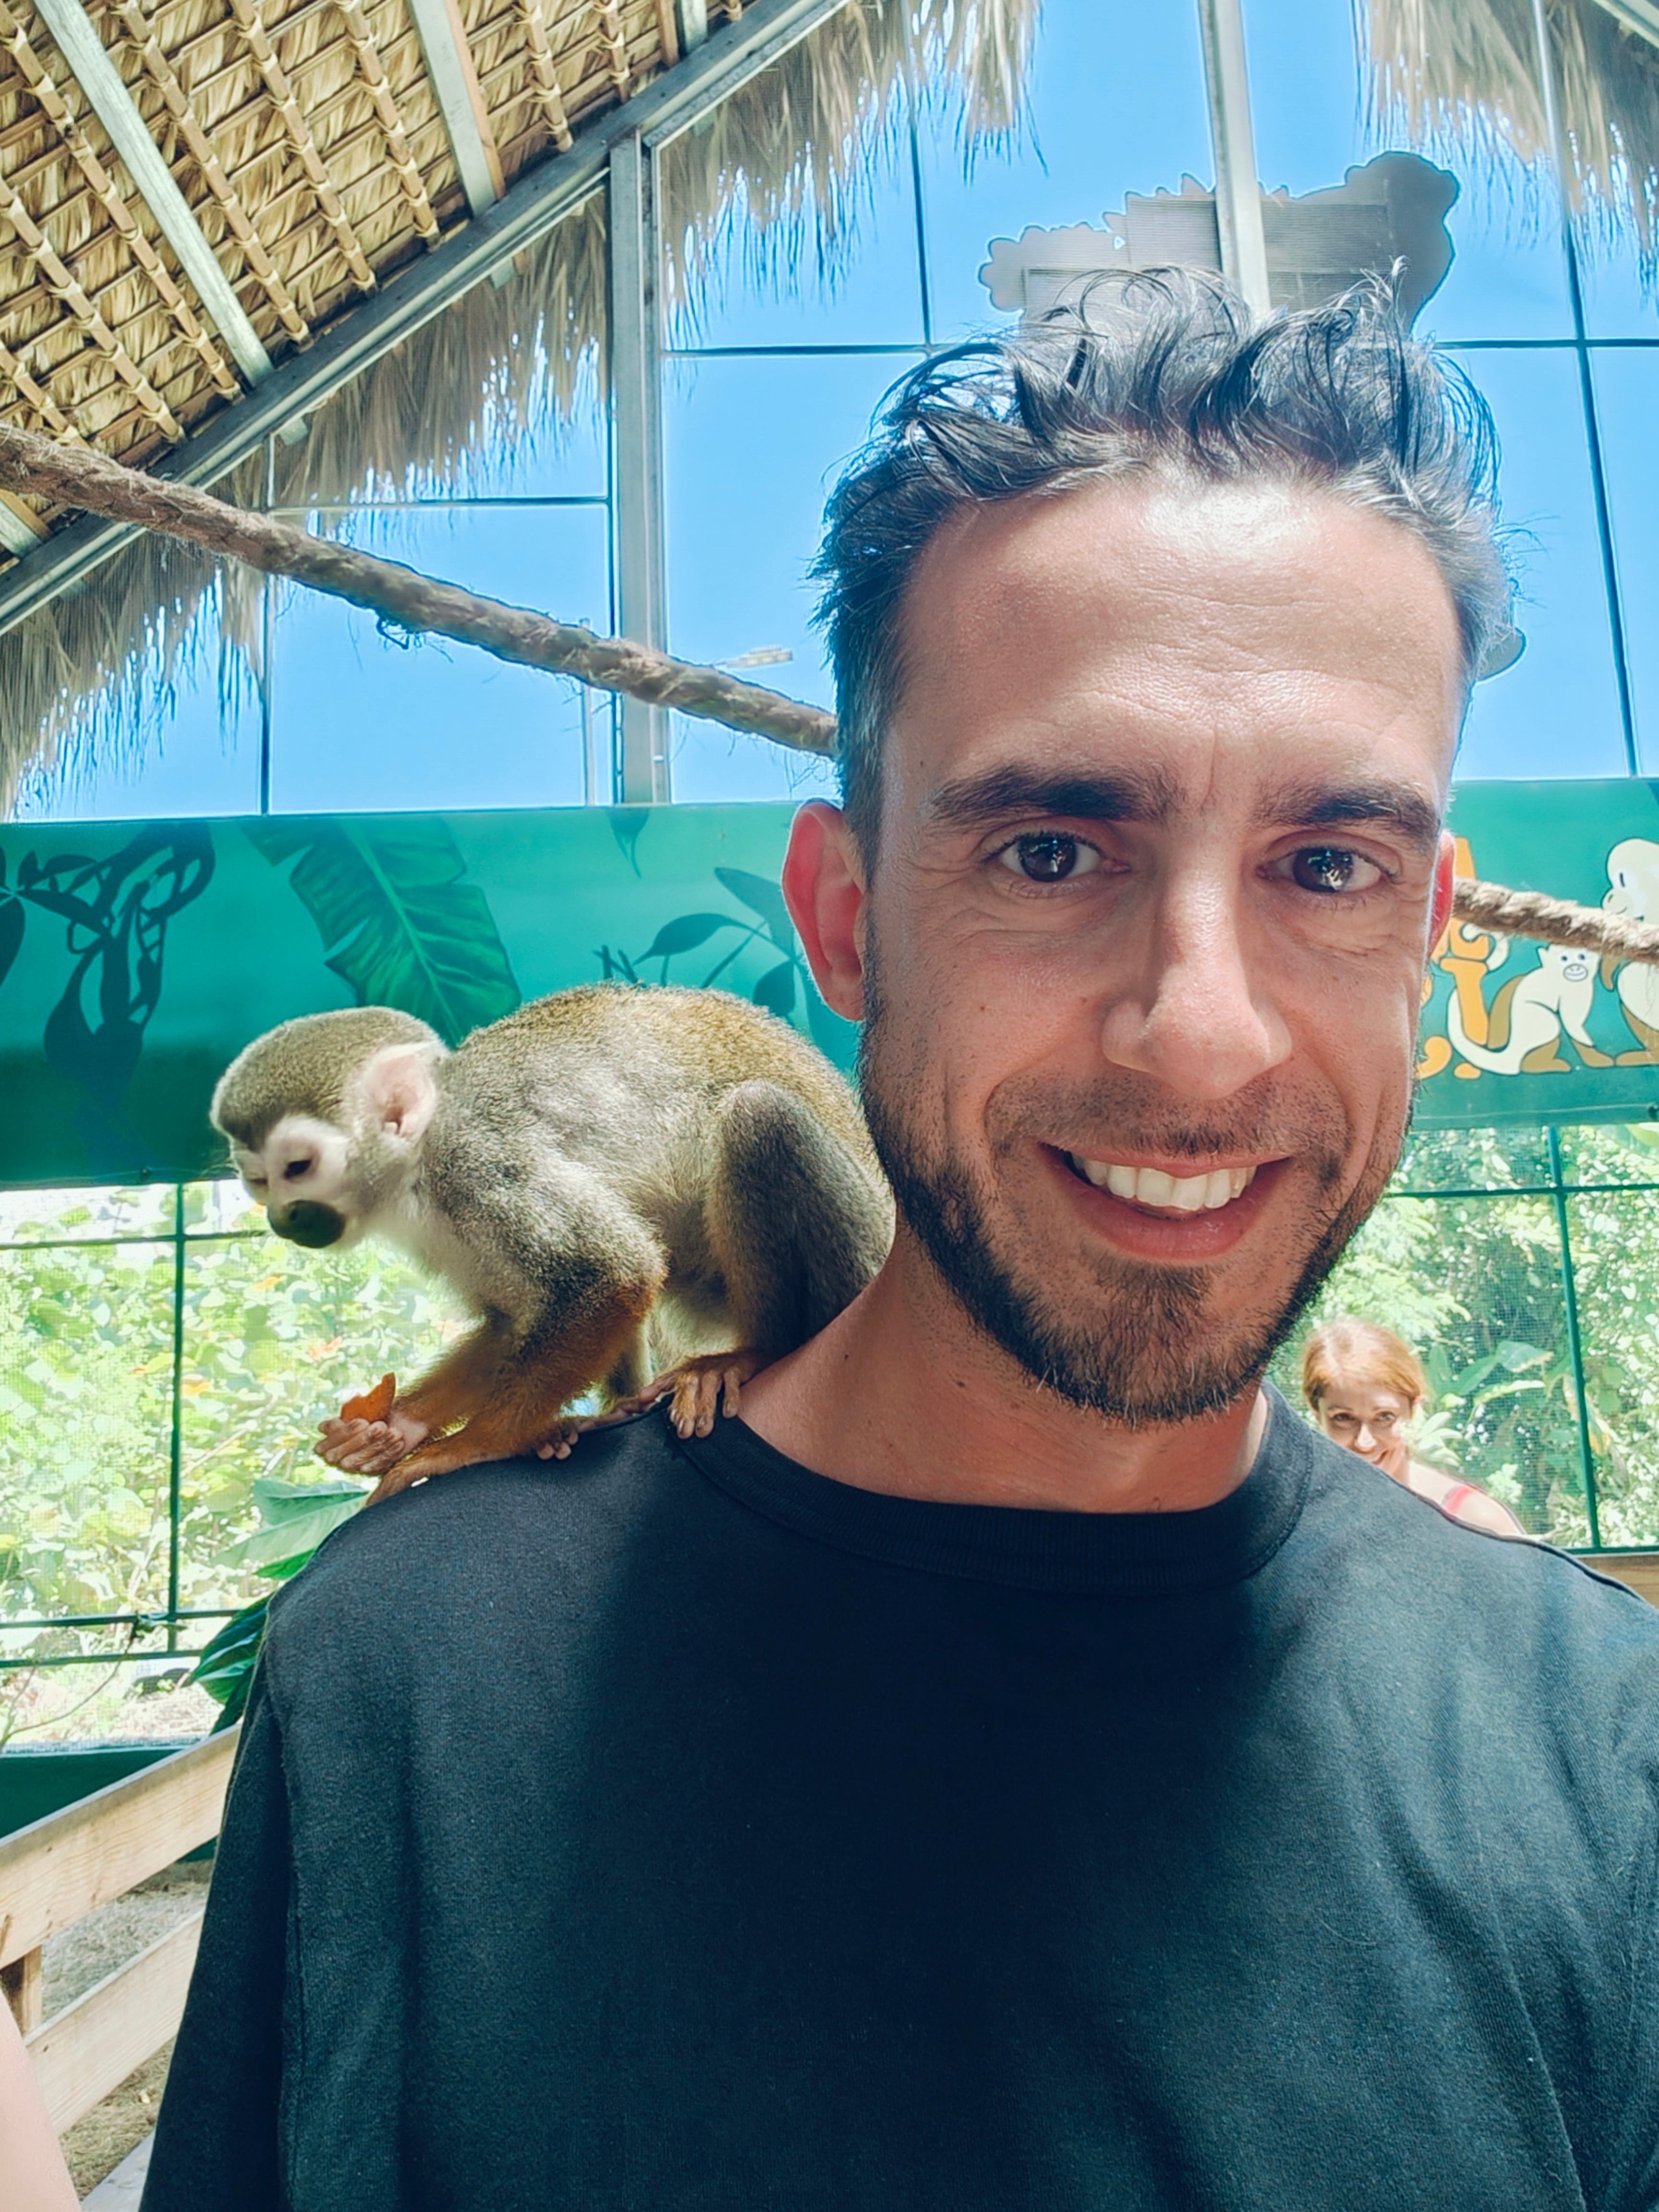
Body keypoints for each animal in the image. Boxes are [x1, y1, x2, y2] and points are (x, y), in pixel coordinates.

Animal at [210, 985, 894, 1503]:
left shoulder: (483, 1165)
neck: (419, 1168)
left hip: (856, 1259)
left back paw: (750, 1354)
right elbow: (510, 1320)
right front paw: (394, 1428)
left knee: (756, 1116)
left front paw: (470, 1445)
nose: (283, 1219)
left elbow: (614, 1270)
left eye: (298, 1168)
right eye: (258, 1181)